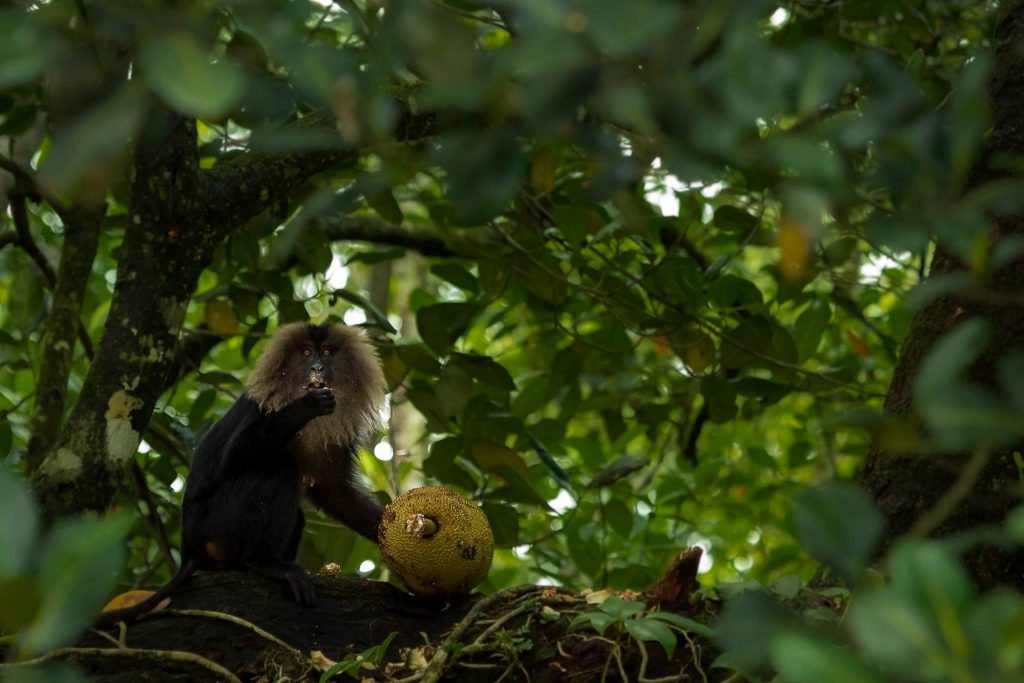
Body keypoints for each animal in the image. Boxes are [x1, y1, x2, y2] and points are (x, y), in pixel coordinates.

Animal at [96, 323, 385, 626]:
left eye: (327, 352)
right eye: (306, 353)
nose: (317, 367)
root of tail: (189, 547)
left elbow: (334, 491)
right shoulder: (261, 405)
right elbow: (235, 455)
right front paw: (306, 407)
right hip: (216, 520)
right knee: (281, 467)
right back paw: (264, 562)